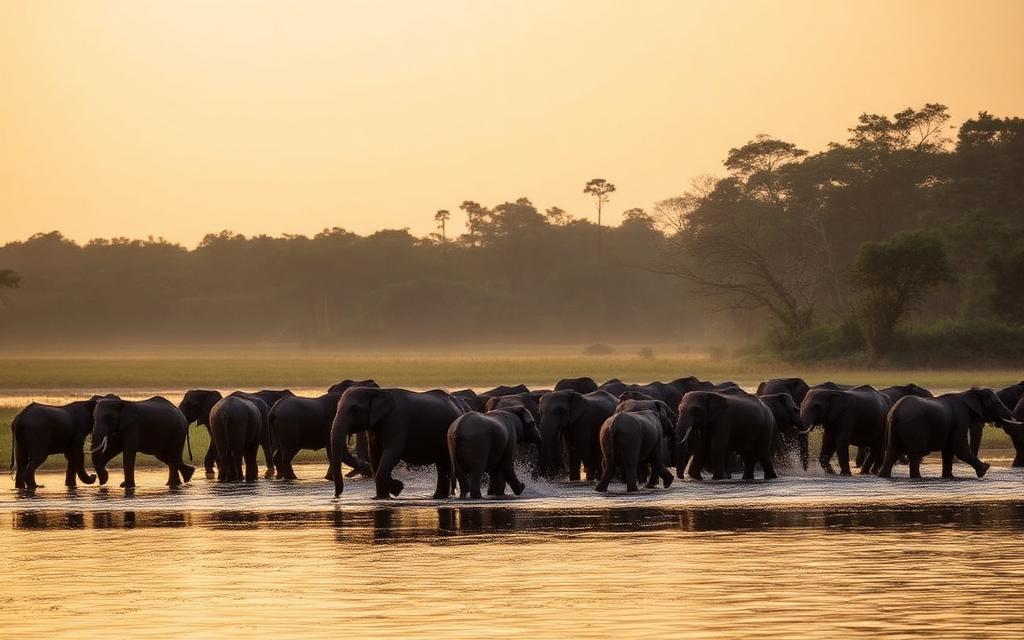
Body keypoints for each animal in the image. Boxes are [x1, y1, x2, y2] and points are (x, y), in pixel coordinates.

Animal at [330, 387, 465, 499]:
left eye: (355, 409)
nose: (337, 496)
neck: (377, 392)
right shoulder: (373, 428)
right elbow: (374, 456)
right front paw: (382, 497)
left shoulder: (396, 421)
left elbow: (392, 453)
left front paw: (397, 489)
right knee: (441, 464)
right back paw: (438, 497)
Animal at [677, 390, 805, 481]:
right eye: (679, 410)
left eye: (696, 411)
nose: (682, 477)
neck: (708, 394)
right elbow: (702, 448)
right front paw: (698, 477)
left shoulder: (725, 420)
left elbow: (716, 447)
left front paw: (718, 479)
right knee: (748, 457)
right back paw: (747, 479)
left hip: (766, 428)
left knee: (762, 455)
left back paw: (771, 478)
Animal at [878, 388, 1021, 479]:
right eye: (998, 403)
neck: (967, 393)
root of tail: (895, 413)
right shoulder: (960, 418)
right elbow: (959, 447)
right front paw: (984, 469)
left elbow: (948, 451)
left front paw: (949, 477)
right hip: (914, 427)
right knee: (914, 454)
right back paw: (917, 477)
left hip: (892, 429)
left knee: (891, 453)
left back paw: (883, 476)